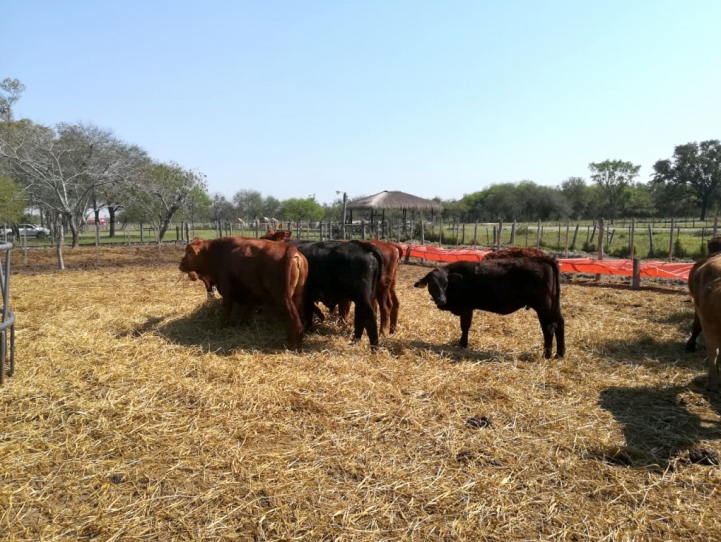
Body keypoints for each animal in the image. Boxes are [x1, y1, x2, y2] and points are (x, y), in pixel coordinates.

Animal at [414, 258, 564, 360]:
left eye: (445, 284)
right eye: (431, 285)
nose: (441, 300)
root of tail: (545, 259)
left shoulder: (467, 308)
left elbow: (465, 326)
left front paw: (462, 344)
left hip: (544, 306)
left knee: (549, 328)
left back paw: (547, 354)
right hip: (551, 307)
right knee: (558, 324)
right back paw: (559, 354)